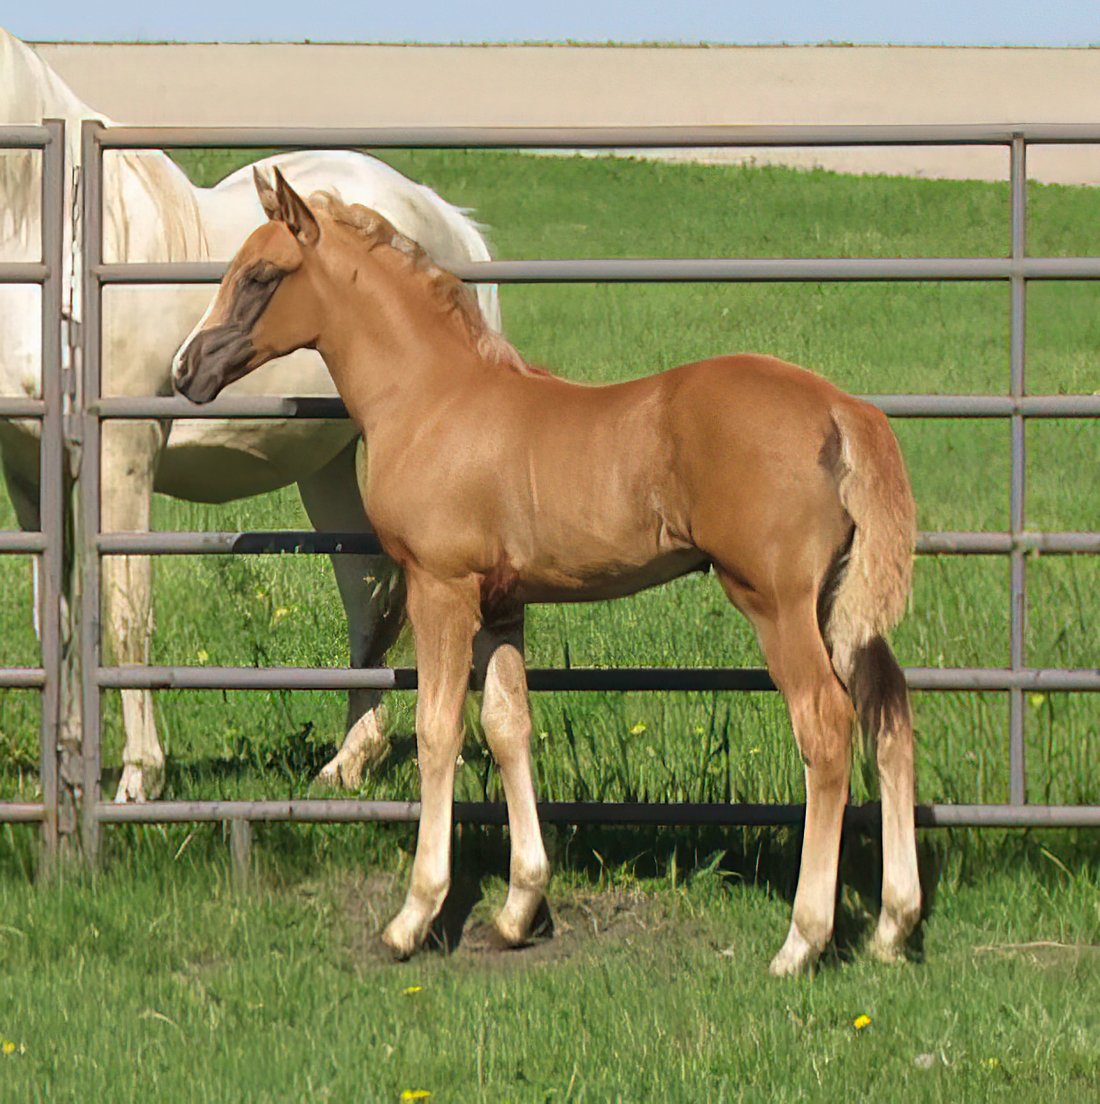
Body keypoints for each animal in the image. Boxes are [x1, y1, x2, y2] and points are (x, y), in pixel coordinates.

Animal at [0, 27, 500, 801]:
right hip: (329, 463)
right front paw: (70, 765)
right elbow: (53, 613)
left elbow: (124, 611)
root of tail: (447, 220)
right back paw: (347, 762)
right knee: (369, 591)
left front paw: (138, 778)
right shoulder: (30, 470)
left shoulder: (122, 457)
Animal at [174, 168, 922, 975]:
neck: (434, 400)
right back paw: (892, 926)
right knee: (889, 714)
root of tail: (841, 408)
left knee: (826, 725)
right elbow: (508, 726)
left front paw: (414, 916)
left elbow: (438, 729)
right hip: (839, 604)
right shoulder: (503, 601)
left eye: (260, 276)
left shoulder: (441, 588)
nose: (186, 370)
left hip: (775, 601)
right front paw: (517, 909)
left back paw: (802, 941)